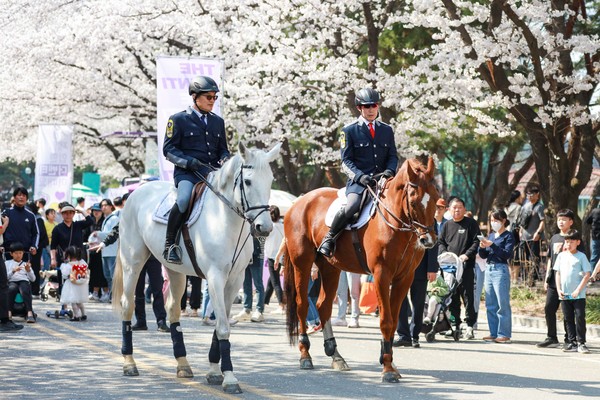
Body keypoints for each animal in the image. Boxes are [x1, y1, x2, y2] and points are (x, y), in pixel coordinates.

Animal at [112, 143, 282, 394]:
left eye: (270, 180)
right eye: (248, 182)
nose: (264, 227)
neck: (225, 220)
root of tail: (137, 192)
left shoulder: (235, 280)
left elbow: (220, 325)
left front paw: (214, 372)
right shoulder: (215, 277)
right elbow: (223, 327)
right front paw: (229, 378)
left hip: (175, 271)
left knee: (173, 309)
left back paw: (183, 364)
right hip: (132, 263)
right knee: (127, 305)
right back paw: (129, 363)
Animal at [282, 156, 440, 382]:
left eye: (436, 197)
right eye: (413, 200)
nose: (428, 240)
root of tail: (298, 203)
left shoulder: (404, 278)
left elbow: (393, 320)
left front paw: (388, 360)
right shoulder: (382, 274)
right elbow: (386, 320)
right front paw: (388, 369)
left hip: (330, 267)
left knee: (323, 306)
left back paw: (336, 355)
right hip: (301, 264)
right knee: (302, 305)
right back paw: (305, 356)